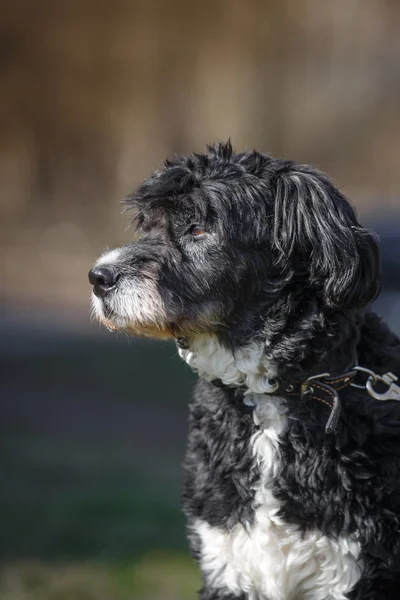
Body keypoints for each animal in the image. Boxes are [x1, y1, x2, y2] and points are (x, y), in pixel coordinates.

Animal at [89, 143, 400, 596]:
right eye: (148, 225)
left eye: (198, 228)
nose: (98, 277)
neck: (270, 396)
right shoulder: (227, 561)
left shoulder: (356, 570)